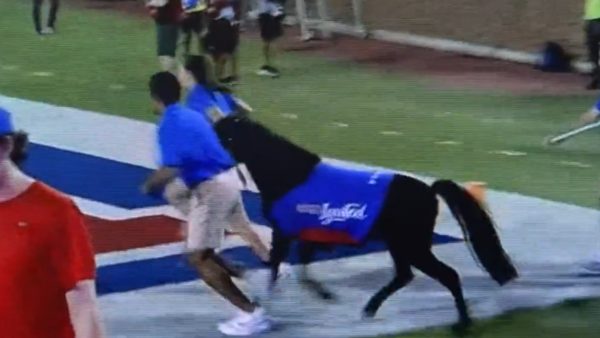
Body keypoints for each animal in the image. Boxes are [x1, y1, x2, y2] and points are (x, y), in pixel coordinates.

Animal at [213, 115, 516, 328]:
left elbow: (277, 266)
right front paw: (325, 295)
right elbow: (301, 269)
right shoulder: (308, 234)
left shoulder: (284, 232)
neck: (289, 175)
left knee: (446, 275)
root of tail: (429, 191)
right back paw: (370, 309)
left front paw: (268, 302)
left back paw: (461, 323)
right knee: (404, 275)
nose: (211, 155)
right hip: (401, 245)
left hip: (412, 246)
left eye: (225, 132)